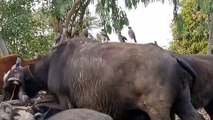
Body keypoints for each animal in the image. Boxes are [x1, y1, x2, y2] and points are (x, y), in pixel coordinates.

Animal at [2, 38, 204, 120]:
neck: (52, 64)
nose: (3, 99)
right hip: (182, 104)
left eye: (7, 87)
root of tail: (170, 56)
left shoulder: (65, 101)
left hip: (158, 110)